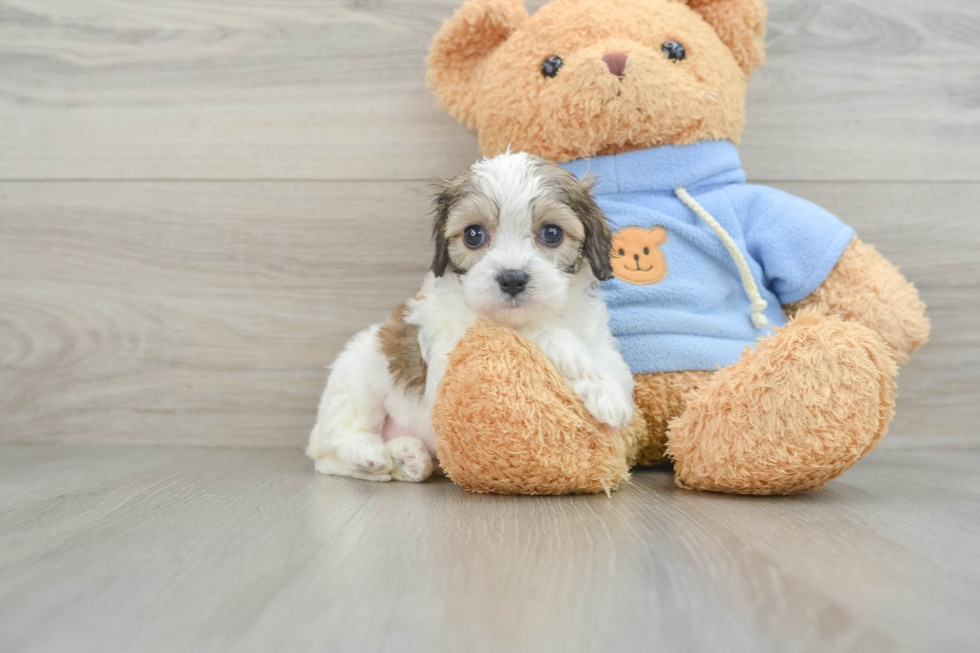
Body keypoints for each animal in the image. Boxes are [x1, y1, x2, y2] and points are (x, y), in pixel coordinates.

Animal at [306, 150, 636, 482]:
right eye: (473, 235)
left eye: (552, 233)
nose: (512, 279)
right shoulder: (451, 352)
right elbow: (520, 331)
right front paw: (567, 350)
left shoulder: (598, 341)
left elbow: (610, 370)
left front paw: (604, 390)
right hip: (356, 377)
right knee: (332, 447)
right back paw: (367, 452)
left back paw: (408, 458)